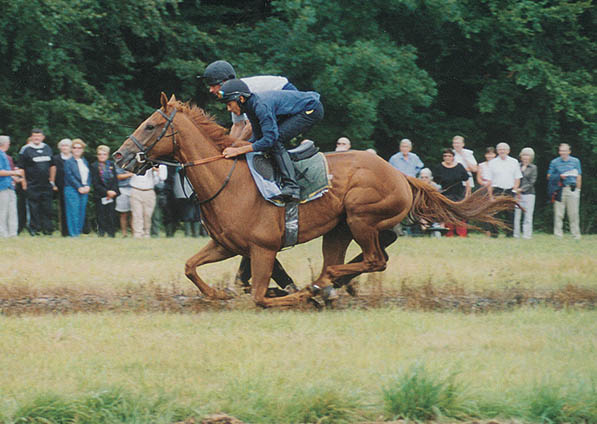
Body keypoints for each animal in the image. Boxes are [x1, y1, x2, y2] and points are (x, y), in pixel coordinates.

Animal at [114, 93, 516, 308]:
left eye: (151, 125)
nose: (119, 157)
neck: (226, 180)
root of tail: (400, 173)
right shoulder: (226, 244)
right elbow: (190, 267)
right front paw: (218, 293)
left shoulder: (262, 248)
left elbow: (259, 296)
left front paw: (296, 292)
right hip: (340, 229)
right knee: (372, 251)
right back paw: (333, 284)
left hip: (359, 216)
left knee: (375, 259)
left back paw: (324, 285)